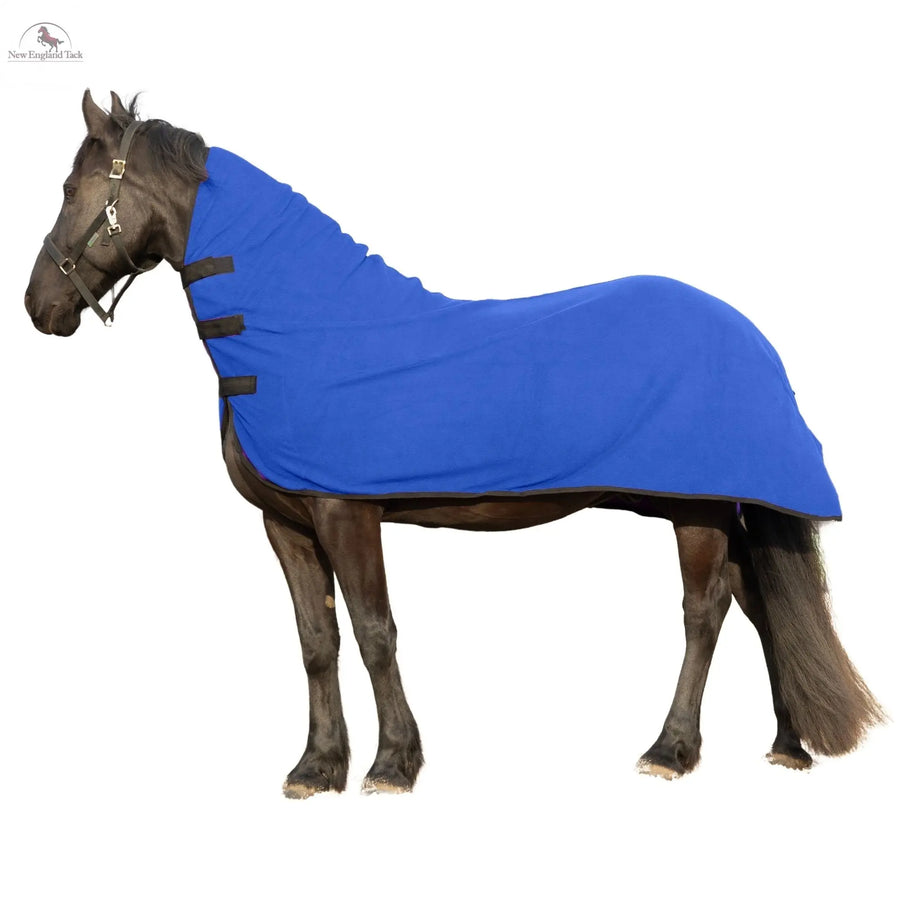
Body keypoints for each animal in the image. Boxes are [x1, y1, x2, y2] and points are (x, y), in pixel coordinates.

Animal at [24, 90, 882, 797]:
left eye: (70, 191)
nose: (39, 305)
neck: (302, 328)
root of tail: (752, 337)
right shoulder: (286, 524)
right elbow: (317, 642)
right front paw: (316, 768)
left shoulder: (345, 512)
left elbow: (374, 633)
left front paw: (392, 765)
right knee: (760, 603)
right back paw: (787, 745)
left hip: (695, 509)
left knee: (705, 612)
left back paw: (670, 751)